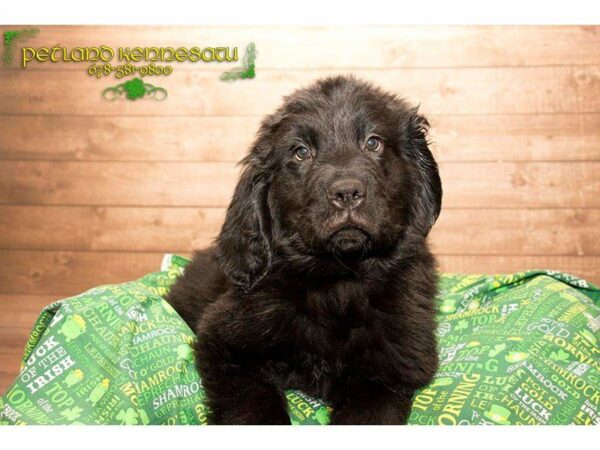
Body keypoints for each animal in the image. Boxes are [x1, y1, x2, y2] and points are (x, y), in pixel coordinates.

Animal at [166, 74, 442, 426]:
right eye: (301, 152)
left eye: (373, 143)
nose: (347, 192)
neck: (338, 281)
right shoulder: (225, 344)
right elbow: (253, 407)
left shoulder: (389, 371)